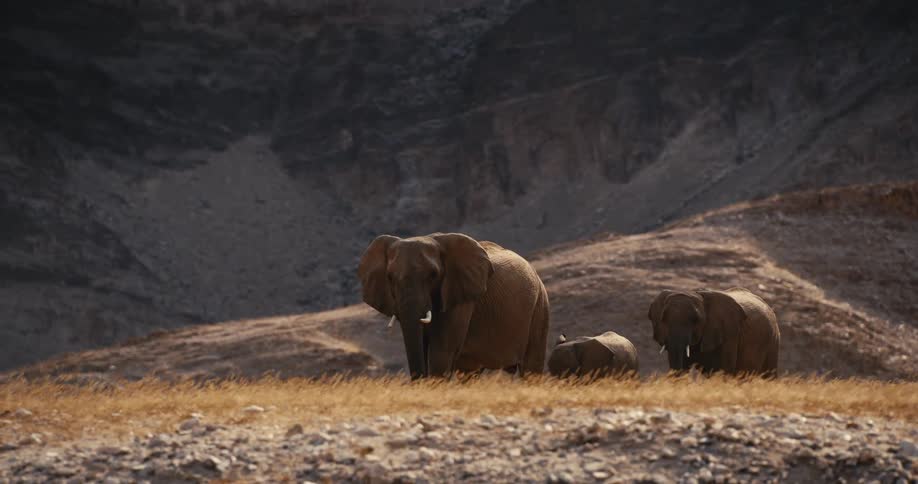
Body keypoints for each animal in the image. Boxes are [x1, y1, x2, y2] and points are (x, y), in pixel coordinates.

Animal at [357, 232, 550, 379]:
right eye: (390, 277)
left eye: (433, 275)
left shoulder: (460, 298)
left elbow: (441, 351)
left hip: (540, 305)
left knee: (531, 368)